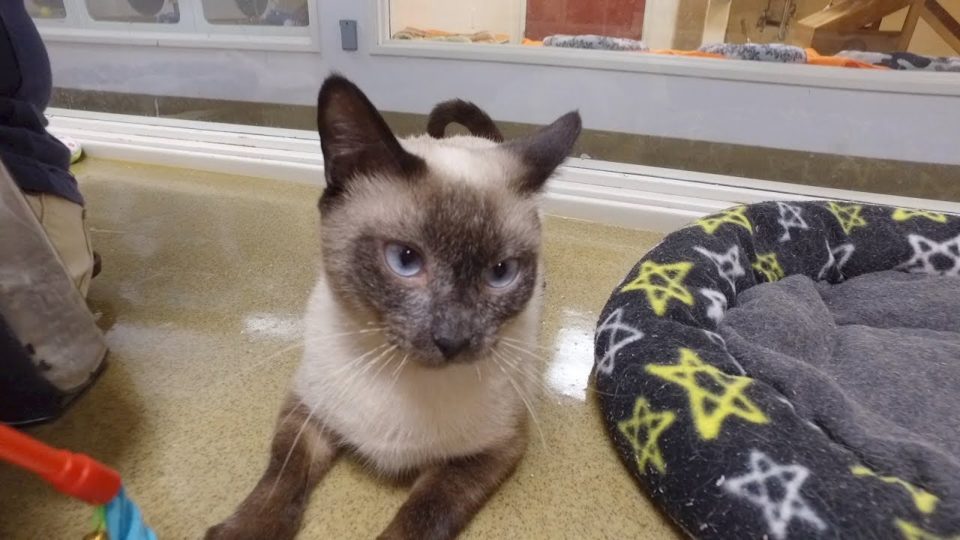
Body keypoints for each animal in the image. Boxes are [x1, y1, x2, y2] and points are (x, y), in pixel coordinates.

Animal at [205, 74, 581, 540]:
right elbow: (281, 475)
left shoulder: (487, 453)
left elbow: (422, 516)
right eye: (405, 260)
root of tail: (480, 141)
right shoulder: (307, 411)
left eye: (501, 272)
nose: (454, 340)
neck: (397, 374)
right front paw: (245, 531)